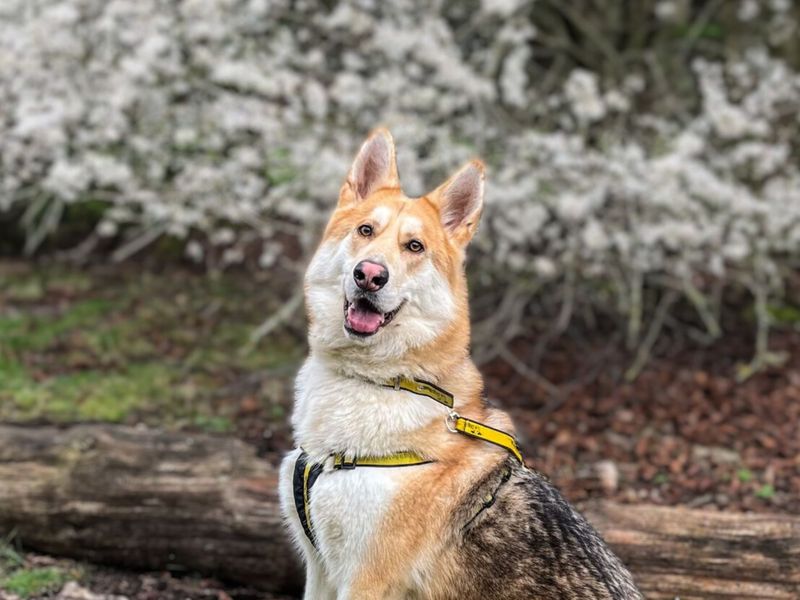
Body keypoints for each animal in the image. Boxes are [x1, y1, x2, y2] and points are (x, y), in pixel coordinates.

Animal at [282, 129, 644, 596]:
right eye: (365, 230)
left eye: (414, 246)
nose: (370, 275)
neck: (382, 380)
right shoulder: (320, 570)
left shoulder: (366, 580)